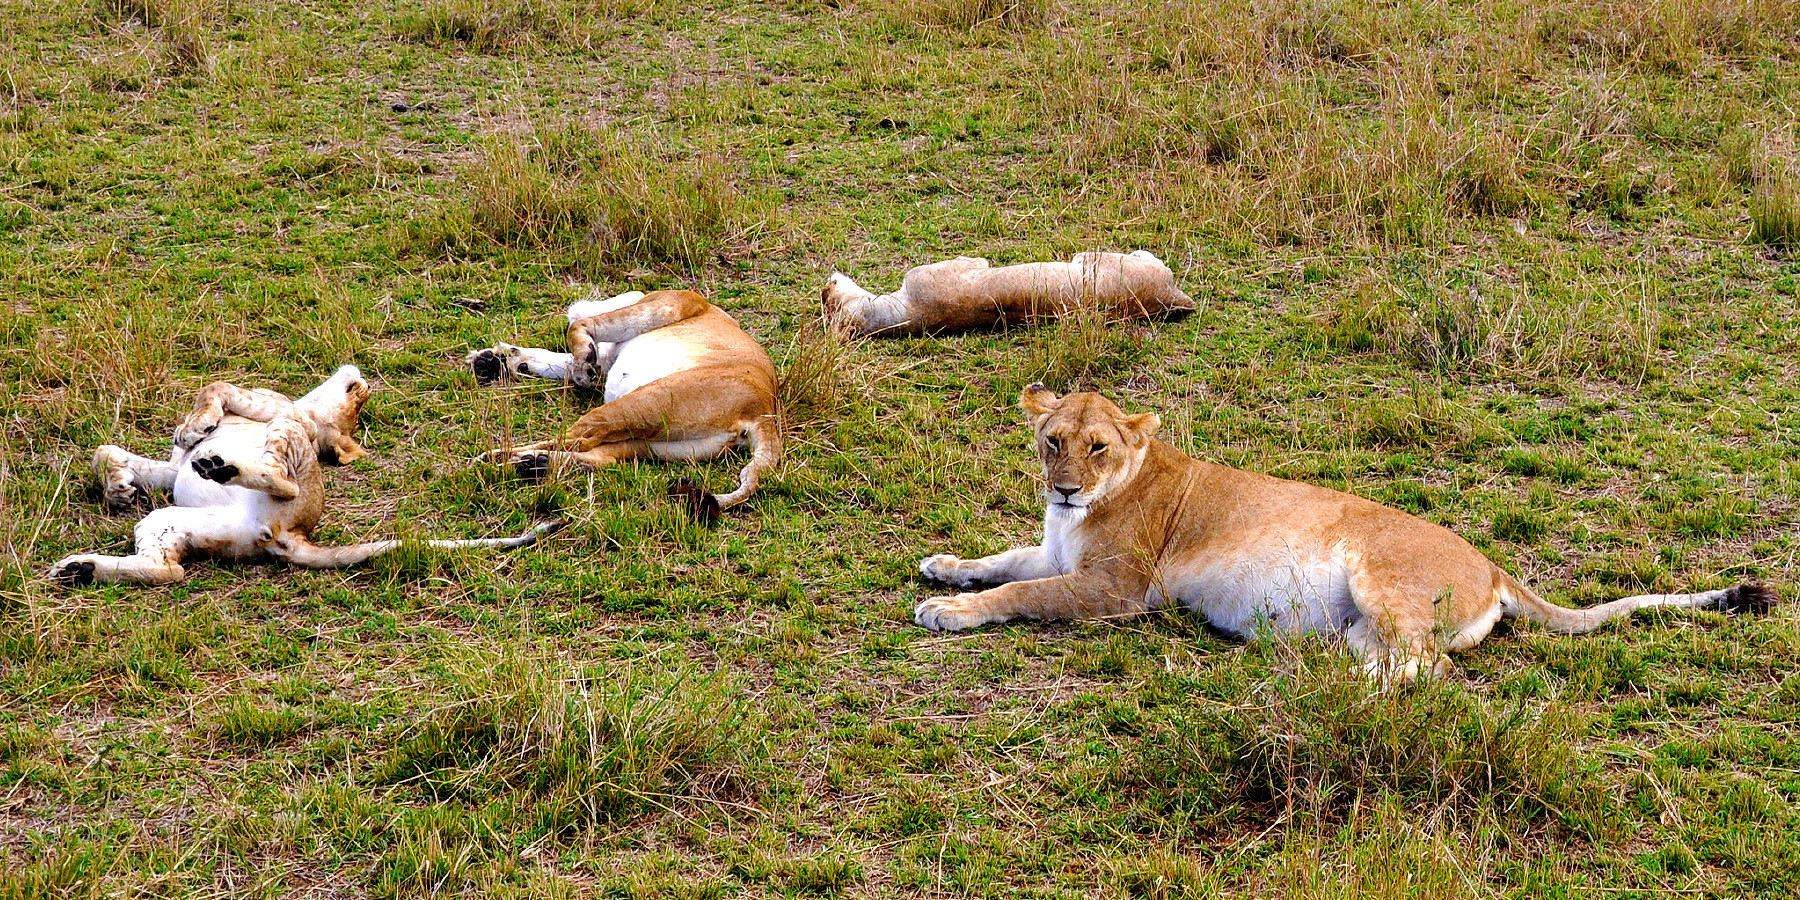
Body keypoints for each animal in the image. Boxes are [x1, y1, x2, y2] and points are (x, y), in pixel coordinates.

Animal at [914, 383, 1771, 676]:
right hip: (1364, 621)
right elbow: (1006, 559)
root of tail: (1493, 565)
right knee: (1402, 659)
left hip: (1381, 577)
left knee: (1427, 668)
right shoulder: (1056, 548)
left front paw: (950, 610)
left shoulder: (1118, 588)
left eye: (1099, 448)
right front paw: (946, 566)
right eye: (1052, 440)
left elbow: (1022, 592)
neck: (1081, 513)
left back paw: (1329, 689)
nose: (1064, 487)